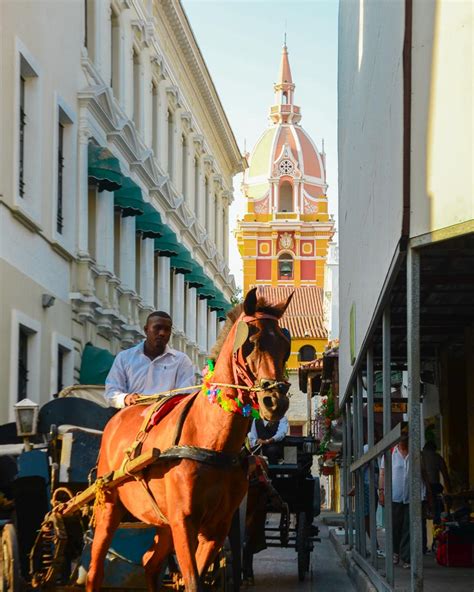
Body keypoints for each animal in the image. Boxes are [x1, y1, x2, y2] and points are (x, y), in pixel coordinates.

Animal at [86, 290, 290, 588]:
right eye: (250, 343)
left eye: (286, 346)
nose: (275, 401)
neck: (213, 443)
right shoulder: (184, 521)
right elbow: (192, 580)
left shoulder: (217, 525)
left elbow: (197, 578)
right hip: (110, 506)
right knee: (95, 568)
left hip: (162, 521)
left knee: (150, 564)